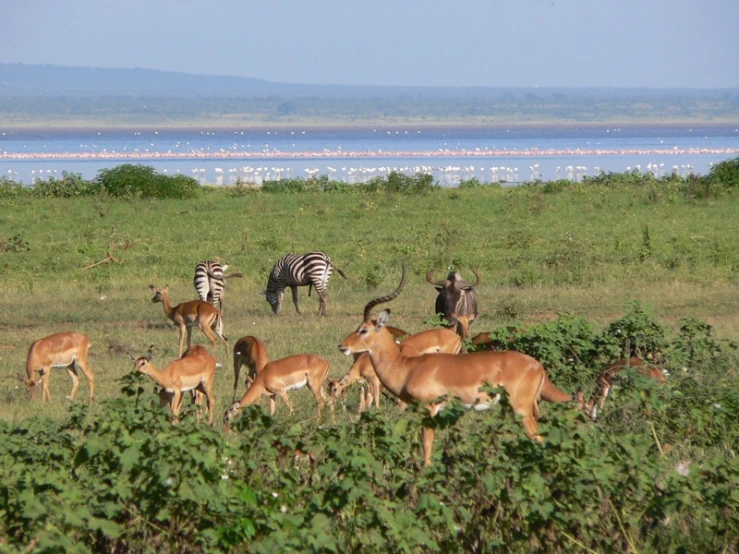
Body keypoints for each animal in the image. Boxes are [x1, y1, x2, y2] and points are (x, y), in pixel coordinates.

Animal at [338, 266, 576, 464]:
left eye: (363, 329)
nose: (342, 346)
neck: (407, 367)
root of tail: (538, 366)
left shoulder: (430, 408)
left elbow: (427, 444)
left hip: (521, 408)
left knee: (538, 437)